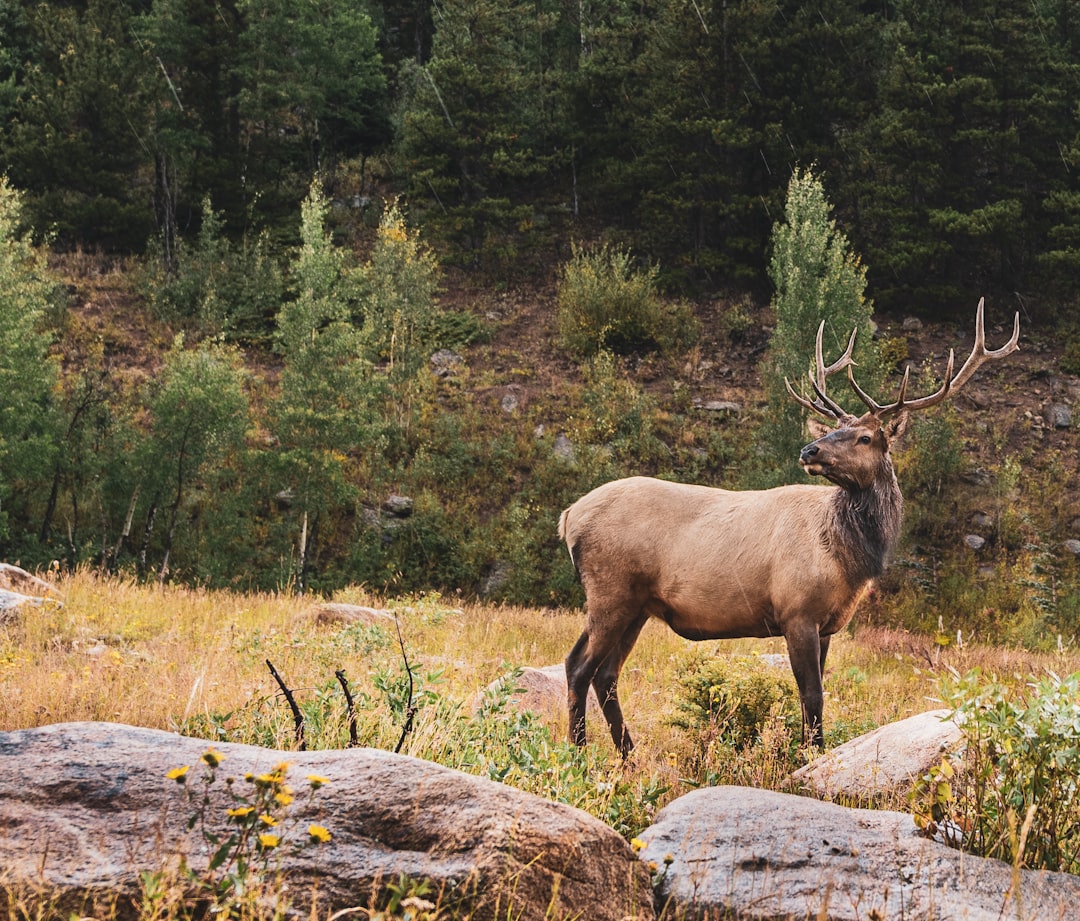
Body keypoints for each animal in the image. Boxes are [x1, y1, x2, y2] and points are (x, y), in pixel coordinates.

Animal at [561, 298, 1015, 751]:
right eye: (835, 429)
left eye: (865, 437)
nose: (809, 449)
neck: (848, 559)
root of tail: (569, 518)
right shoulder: (797, 611)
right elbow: (812, 695)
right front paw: (811, 755)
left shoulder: (827, 624)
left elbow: (811, 695)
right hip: (610, 590)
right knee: (578, 665)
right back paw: (580, 751)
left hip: (637, 605)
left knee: (606, 674)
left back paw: (628, 755)